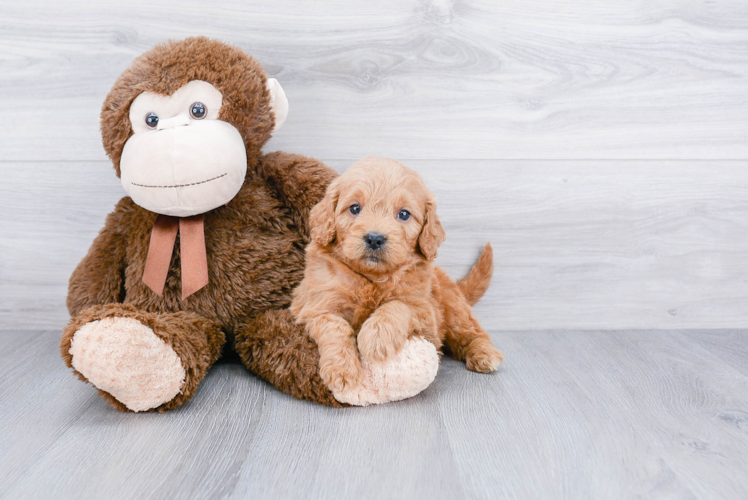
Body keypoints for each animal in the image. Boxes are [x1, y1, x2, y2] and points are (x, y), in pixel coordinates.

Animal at [292, 158, 502, 392]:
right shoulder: (316, 308)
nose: (375, 238)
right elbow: (335, 329)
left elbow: (397, 305)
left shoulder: (426, 315)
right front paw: (342, 371)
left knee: (473, 333)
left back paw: (485, 354)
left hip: (454, 309)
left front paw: (376, 337)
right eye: (354, 208)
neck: (372, 278)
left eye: (403, 214)